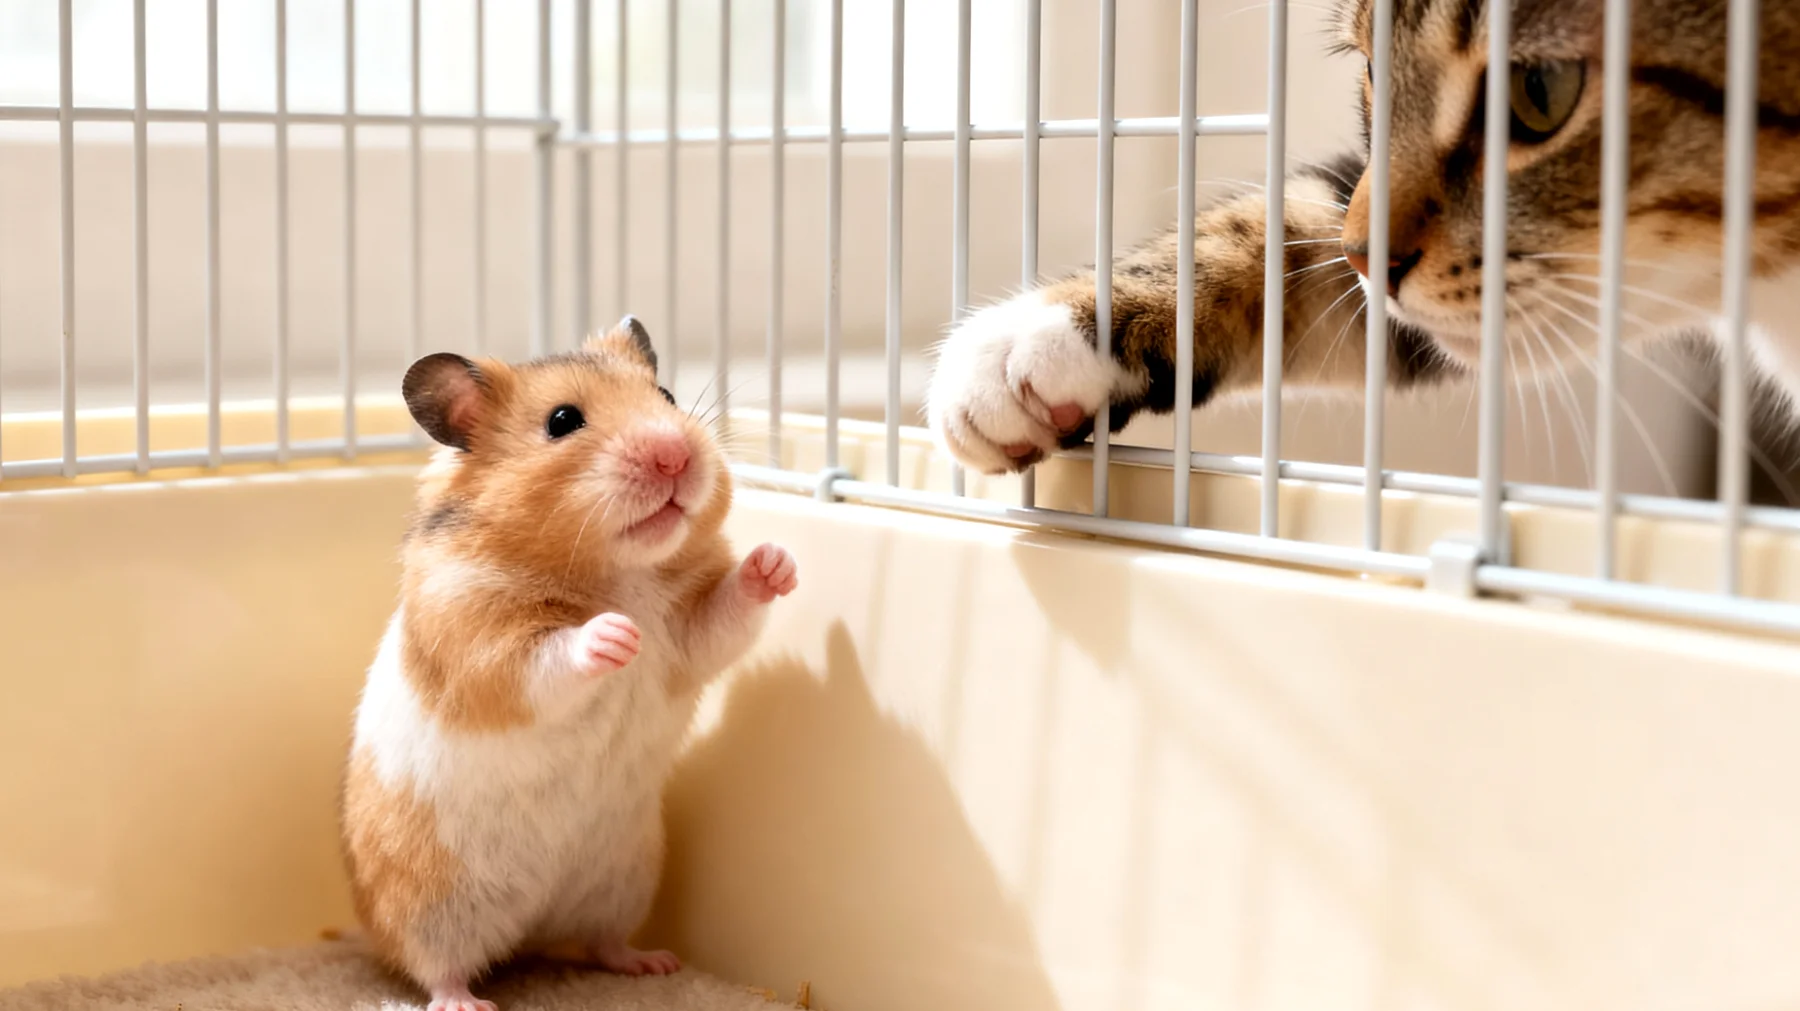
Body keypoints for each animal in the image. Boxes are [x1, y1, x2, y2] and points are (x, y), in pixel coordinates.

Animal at [339, 317, 798, 1011]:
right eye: (562, 421)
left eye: (665, 395)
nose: (675, 454)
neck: (622, 573)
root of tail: (531, 931)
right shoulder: (481, 643)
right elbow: (548, 660)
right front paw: (615, 635)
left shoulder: (688, 637)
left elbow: (725, 616)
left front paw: (776, 561)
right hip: (429, 905)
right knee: (435, 964)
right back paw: (467, 1002)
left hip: (625, 878)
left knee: (602, 942)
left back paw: (652, 963)